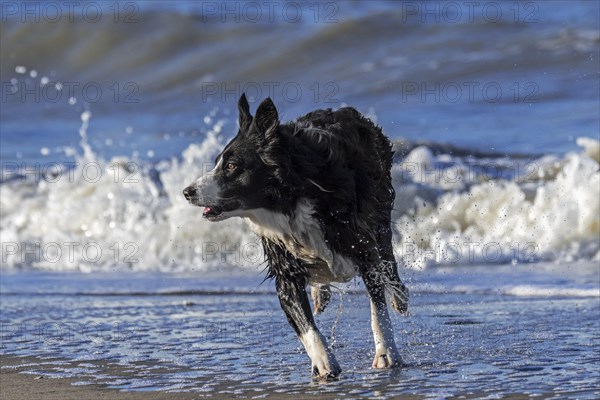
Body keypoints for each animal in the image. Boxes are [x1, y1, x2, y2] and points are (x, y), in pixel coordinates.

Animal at [182, 95, 408, 380]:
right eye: (217, 163)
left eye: (232, 166)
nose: (187, 192)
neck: (289, 200)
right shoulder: (284, 263)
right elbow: (302, 320)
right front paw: (324, 363)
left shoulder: (362, 243)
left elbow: (377, 308)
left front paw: (385, 353)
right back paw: (320, 293)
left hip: (379, 211)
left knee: (387, 259)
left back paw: (399, 296)